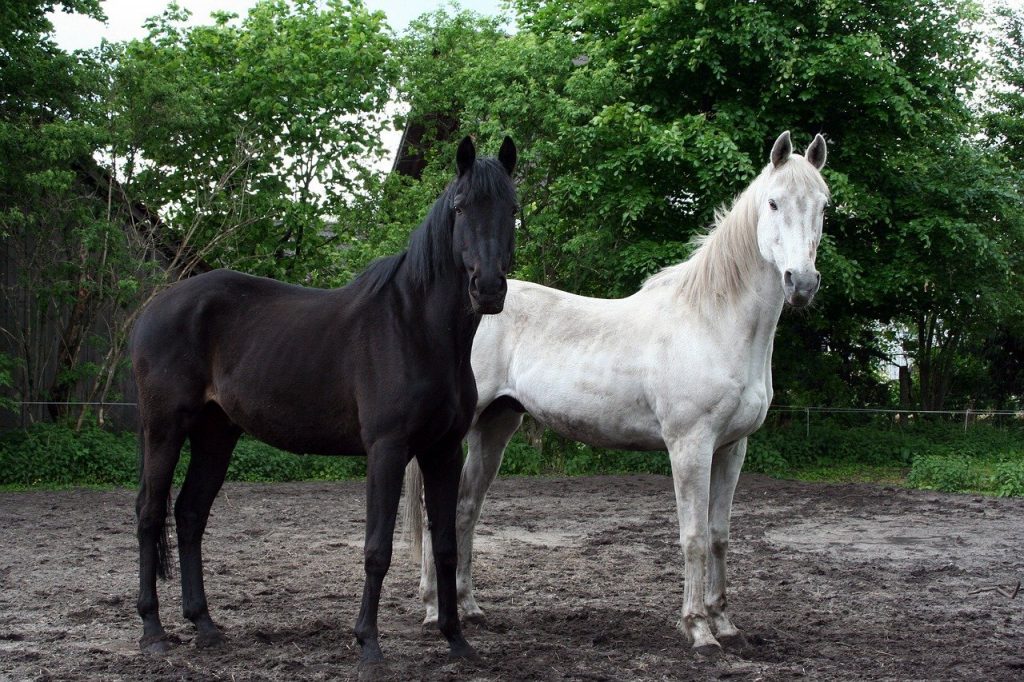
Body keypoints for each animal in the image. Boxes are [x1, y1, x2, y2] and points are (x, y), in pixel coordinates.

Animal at [131, 135, 520, 667]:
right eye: (460, 207)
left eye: (513, 210)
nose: (489, 288)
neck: (416, 328)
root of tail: (155, 308)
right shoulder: (387, 450)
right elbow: (376, 550)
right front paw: (369, 645)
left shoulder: (442, 450)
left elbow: (445, 546)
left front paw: (457, 641)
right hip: (164, 426)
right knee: (150, 512)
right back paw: (152, 629)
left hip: (216, 432)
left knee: (190, 515)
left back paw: (205, 625)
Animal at [403, 129, 827, 655]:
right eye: (773, 202)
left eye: (823, 205)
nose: (801, 282)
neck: (712, 322)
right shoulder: (690, 446)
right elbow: (693, 537)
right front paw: (699, 629)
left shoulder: (732, 448)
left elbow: (719, 535)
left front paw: (726, 624)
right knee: (435, 509)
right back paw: (431, 610)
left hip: (495, 425)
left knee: (465, 509)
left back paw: (469, 608)